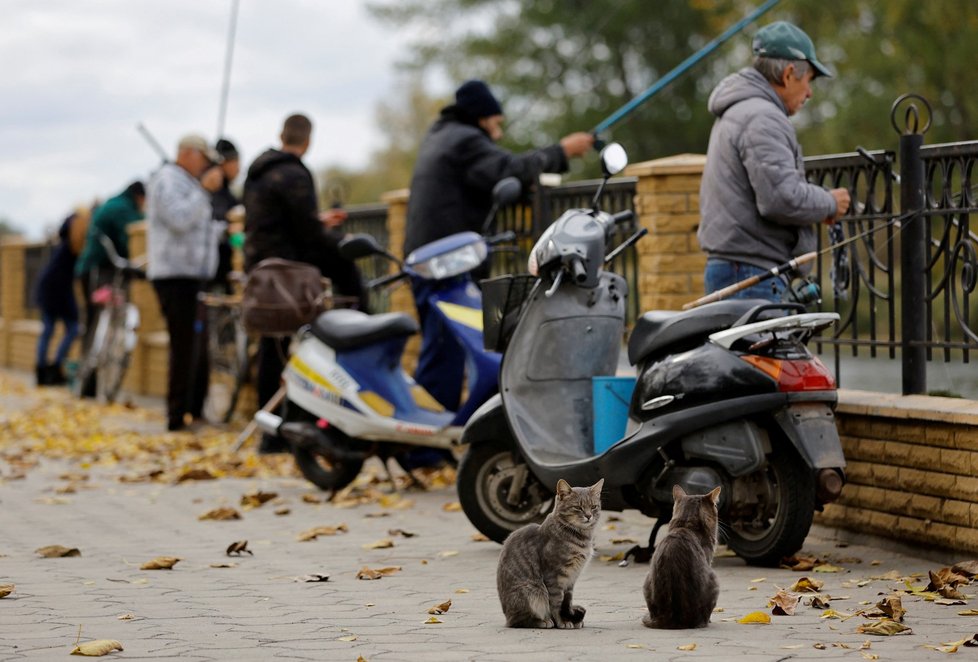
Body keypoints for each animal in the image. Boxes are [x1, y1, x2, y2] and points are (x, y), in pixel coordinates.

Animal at [496, 480, 604, 632]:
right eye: (578, 507)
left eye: (593, 507)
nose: (589, 516)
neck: (581, 537)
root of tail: (507, 616)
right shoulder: (554, 576)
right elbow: (556, 604)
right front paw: (562, 622)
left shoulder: (571, 579)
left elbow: (567, 602)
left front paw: (570, 618)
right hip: (532, 591)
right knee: (518, 621)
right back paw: (543, 621)